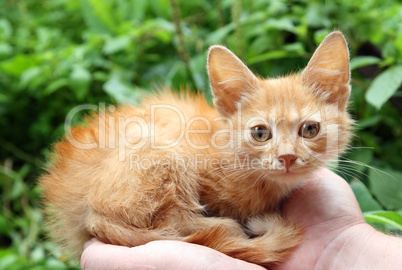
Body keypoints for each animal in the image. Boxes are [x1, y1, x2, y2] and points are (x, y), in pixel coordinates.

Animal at [40, 31, 352, 266]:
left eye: (310, 129)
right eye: (260, 133)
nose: (287, 157)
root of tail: (84, 211)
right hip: (161, 152)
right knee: (169, 220)